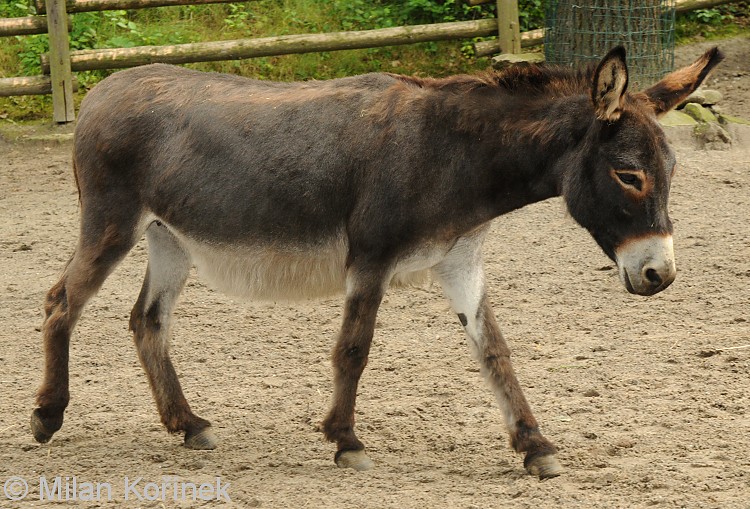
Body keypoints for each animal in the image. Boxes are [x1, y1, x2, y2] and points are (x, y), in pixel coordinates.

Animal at [31, 46, 722, 479]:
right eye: (629, 175)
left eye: (672, 169)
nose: (660, 276)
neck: (452, 155)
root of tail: (102, 87)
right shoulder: (370, 257)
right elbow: (353, 349)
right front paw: (346, 441)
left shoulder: (460, 263)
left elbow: (496, 354)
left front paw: (535, 447)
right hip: (112, 224)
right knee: (61, 301)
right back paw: (46, 416)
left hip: (171, 239)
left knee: (146, 320)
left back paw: (187, 424)